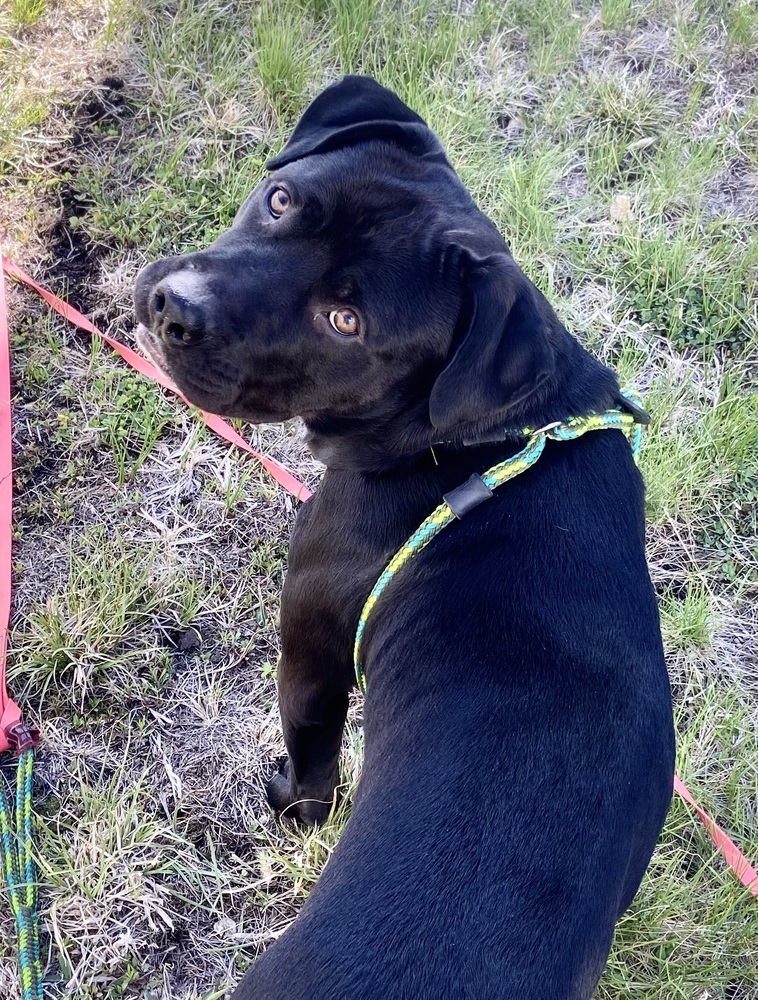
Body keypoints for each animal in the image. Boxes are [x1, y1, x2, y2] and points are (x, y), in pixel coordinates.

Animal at [137, 76, 676, 1000]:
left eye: (346, 321)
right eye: (281, 201)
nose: (178, 307)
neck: (488, 437)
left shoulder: (311, 654)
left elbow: (314, 761)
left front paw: (290, 805)